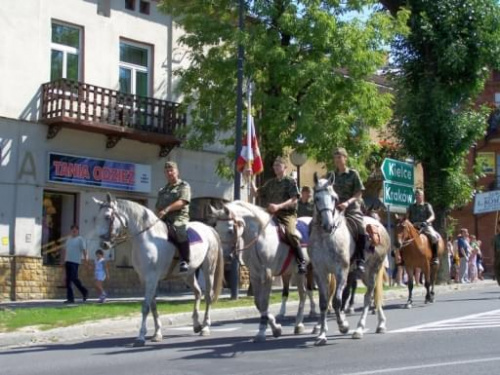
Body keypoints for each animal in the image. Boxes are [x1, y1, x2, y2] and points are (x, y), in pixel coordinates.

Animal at [93, 194, 225, 346]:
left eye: (108, 217)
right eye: (96, 217)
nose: (103, 244)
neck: (147, 238)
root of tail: (209, 228)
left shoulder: (152, 278)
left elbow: (145, 306)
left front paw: (141, 337)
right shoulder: (145, 279)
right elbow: (153, 305)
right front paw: (157, 334)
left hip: (208, 269)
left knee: (208, 295)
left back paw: (205, 327)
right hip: (188, 274)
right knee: (198, 292)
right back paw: (197, 325)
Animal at [211, 201, 308, 342]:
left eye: (230, 230)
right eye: (217, 229)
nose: (225, 257)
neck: (259, 237)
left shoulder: (268, 275)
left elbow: (264, 302)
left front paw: (263, 330)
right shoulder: (255, 275)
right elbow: (259, 303)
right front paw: (275, 327)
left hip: (301, 272)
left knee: (304, 294)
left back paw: (299, 325)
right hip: (292, 272)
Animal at [308, 176, 390, 346]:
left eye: (334, 198)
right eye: (317, 198)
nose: (328, 225)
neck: (326, 238)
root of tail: (380, 226)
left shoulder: (341, 272)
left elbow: (338, 301)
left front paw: (343, 325)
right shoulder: (320, 272)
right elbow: (324, 303)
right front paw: (321, 335)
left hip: (372, 271)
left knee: (368, 297)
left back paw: (359, 329)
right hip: (362, 275)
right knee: (374, 294)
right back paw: (380, 324)